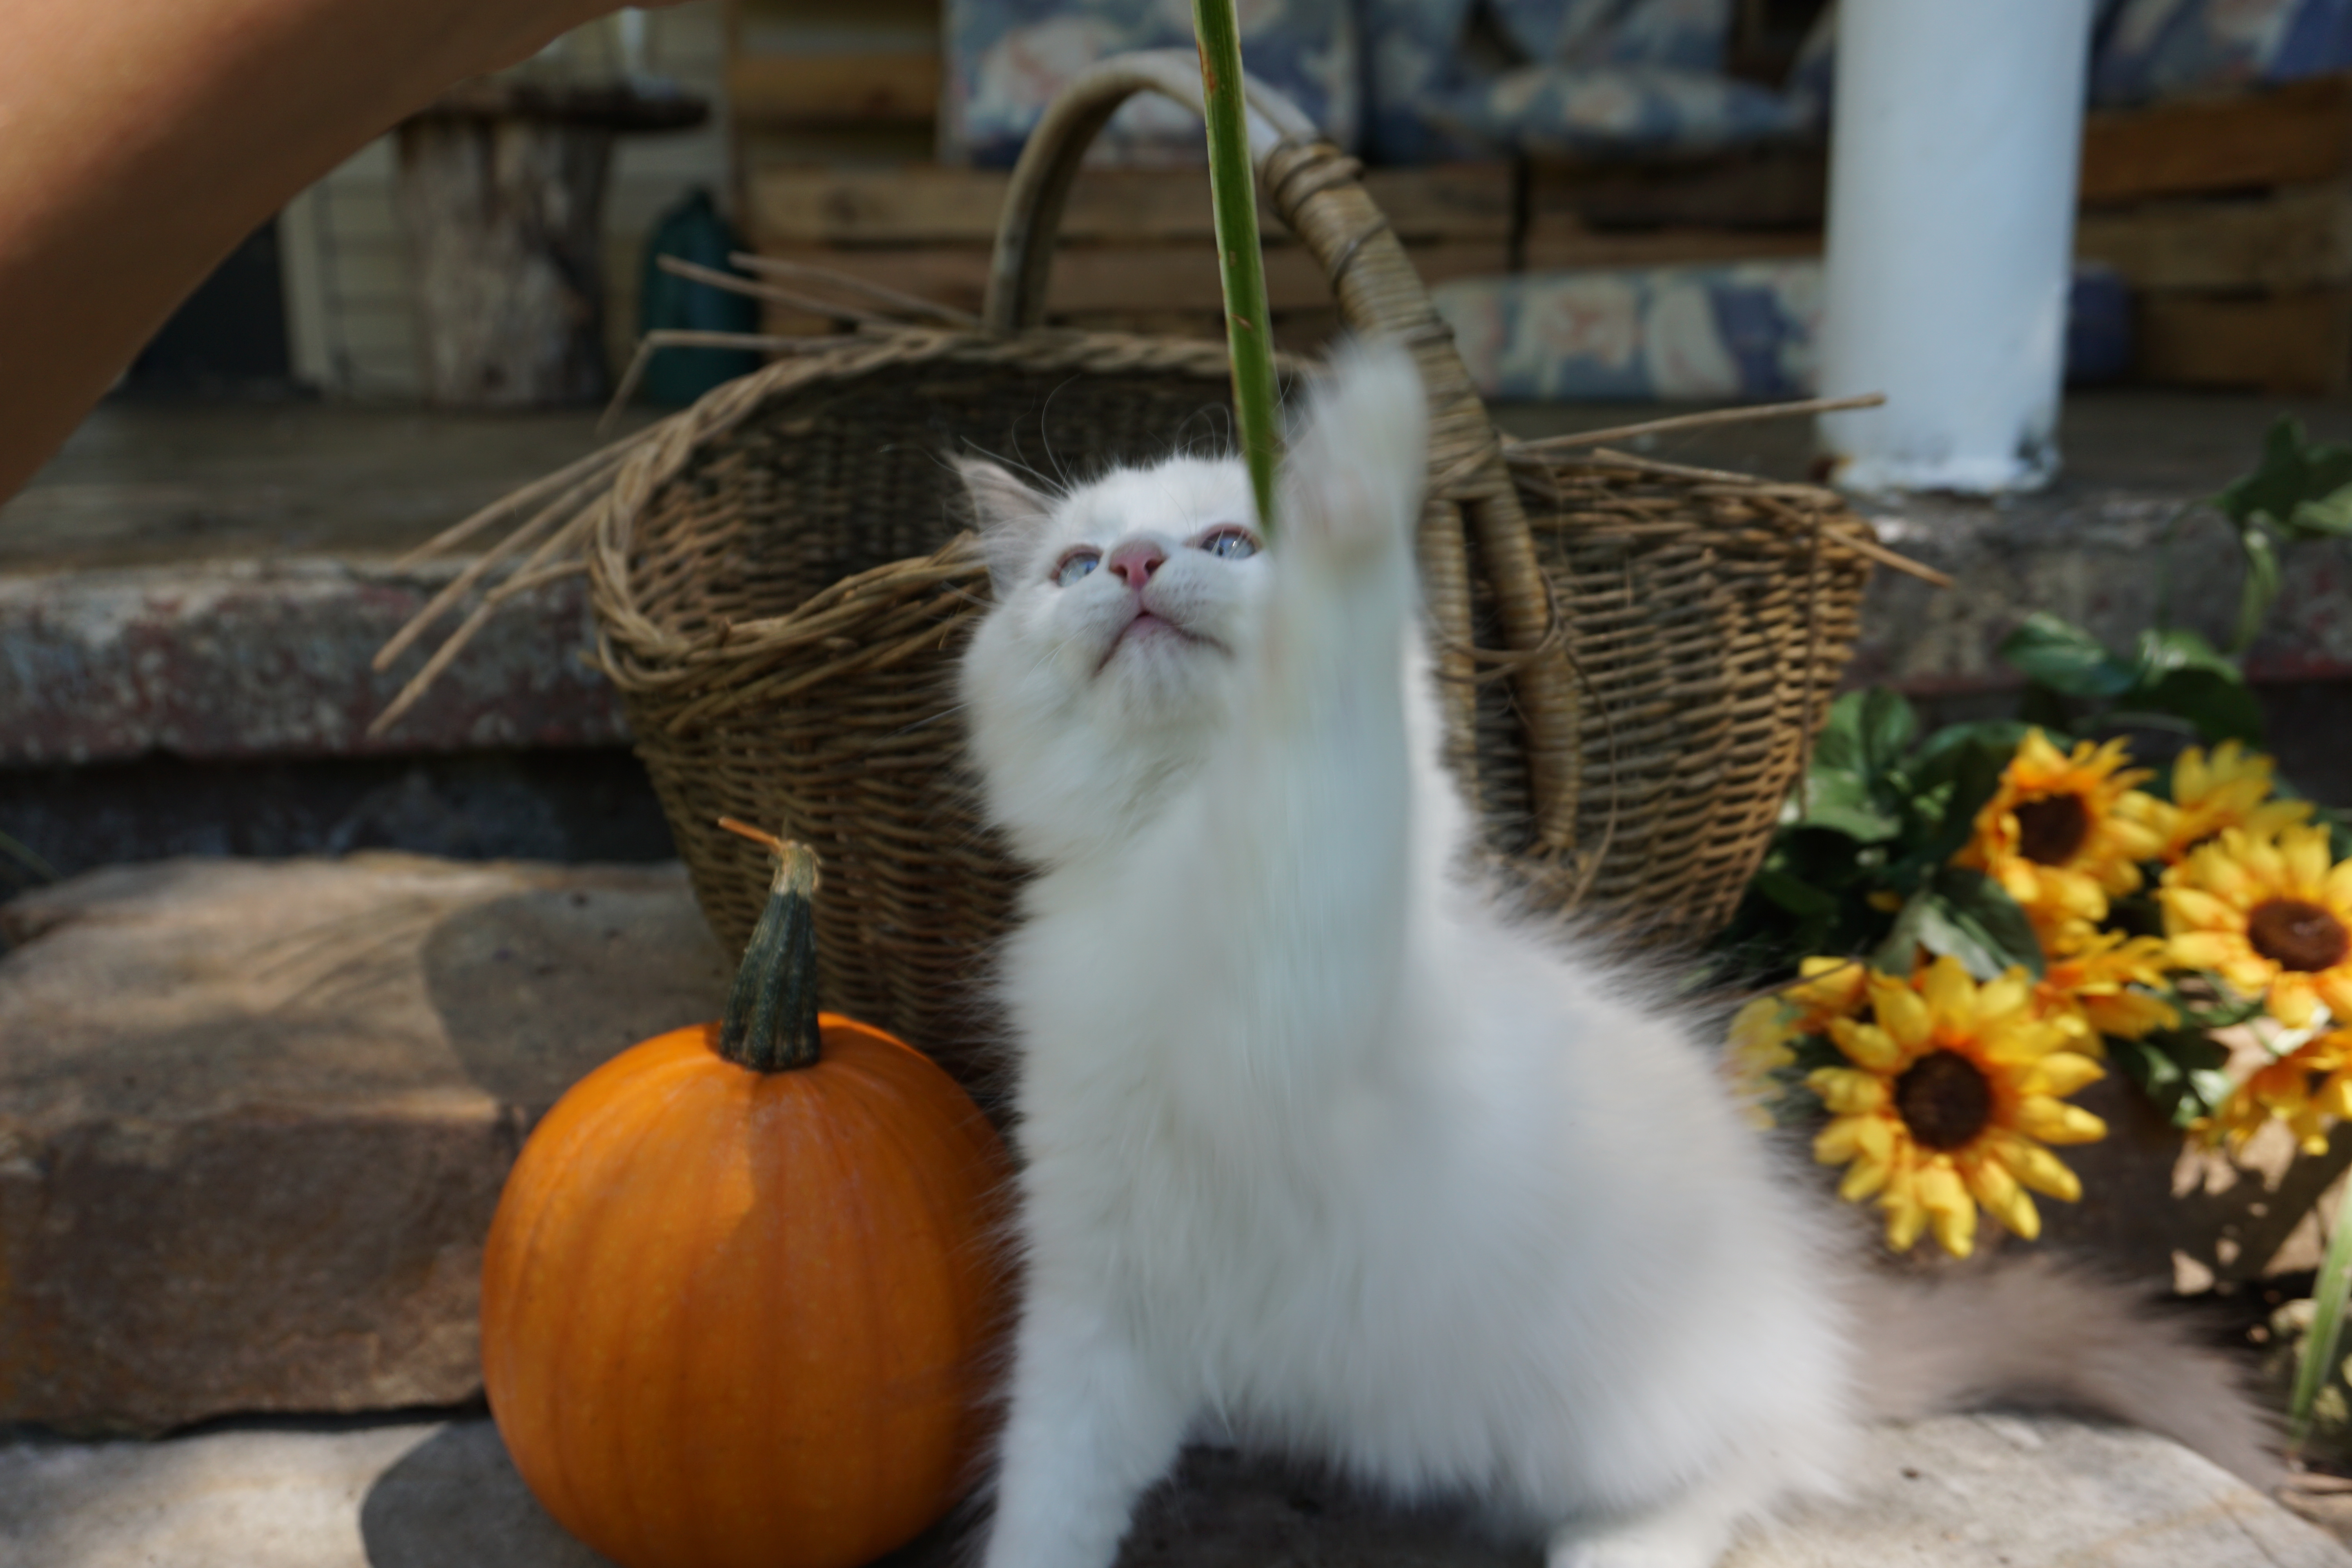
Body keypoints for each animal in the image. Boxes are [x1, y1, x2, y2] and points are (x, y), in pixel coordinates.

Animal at [951, 342, 2270, 1568]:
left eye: (1227, 545)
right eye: (1076, 567)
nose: (1133, 567)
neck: (1164, 852)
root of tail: (1811, 1330)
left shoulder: (1311, 919)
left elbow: (1316, 714)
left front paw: (1365, 440)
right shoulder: (1094, 1285)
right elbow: (1049, 1491)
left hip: (1612, 1403)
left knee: (1761, 1457)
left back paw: (1623, 1543)